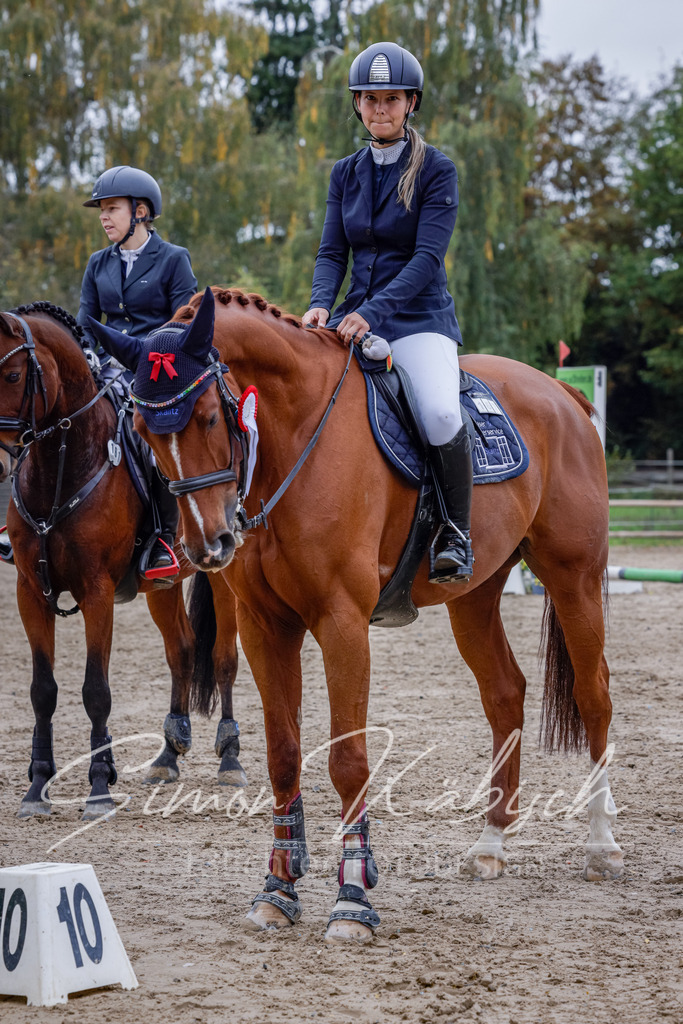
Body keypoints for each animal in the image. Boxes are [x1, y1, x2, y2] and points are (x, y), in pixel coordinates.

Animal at [0, 303, 246, 821]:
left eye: (12, 374)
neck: (61, 465)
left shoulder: (97, 592)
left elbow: (96, 690)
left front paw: (98, 787)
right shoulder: (30, 591)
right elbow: (42, 690)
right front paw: (37, 788)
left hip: (222, 573)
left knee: (224, 658)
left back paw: (230, 759)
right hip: (163, 584)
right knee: (182, 651)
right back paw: (168, 756)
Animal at [101, 285, 623, 943]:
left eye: (211, 418)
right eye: (144, 431)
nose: (208, 546)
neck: (295, 438)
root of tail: (562, 394)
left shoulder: (342, 622)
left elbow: (348, 761)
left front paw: (352, 901)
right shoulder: (265, 627)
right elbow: (284, 755)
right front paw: (277, 892)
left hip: (573, 578)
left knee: (594, 694)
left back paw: (602, 846)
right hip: (475, 595)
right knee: (505, 693)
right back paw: (490, 845)